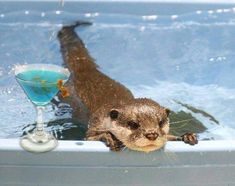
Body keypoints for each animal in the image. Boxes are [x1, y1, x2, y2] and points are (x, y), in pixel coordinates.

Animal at [57, 21, 198, 153]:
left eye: (160, 122)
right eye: (133, 124)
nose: (152, 134)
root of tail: (85, 70)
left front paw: (186, 136)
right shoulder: (95, 123)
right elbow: (89, 137)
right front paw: (108, 137)